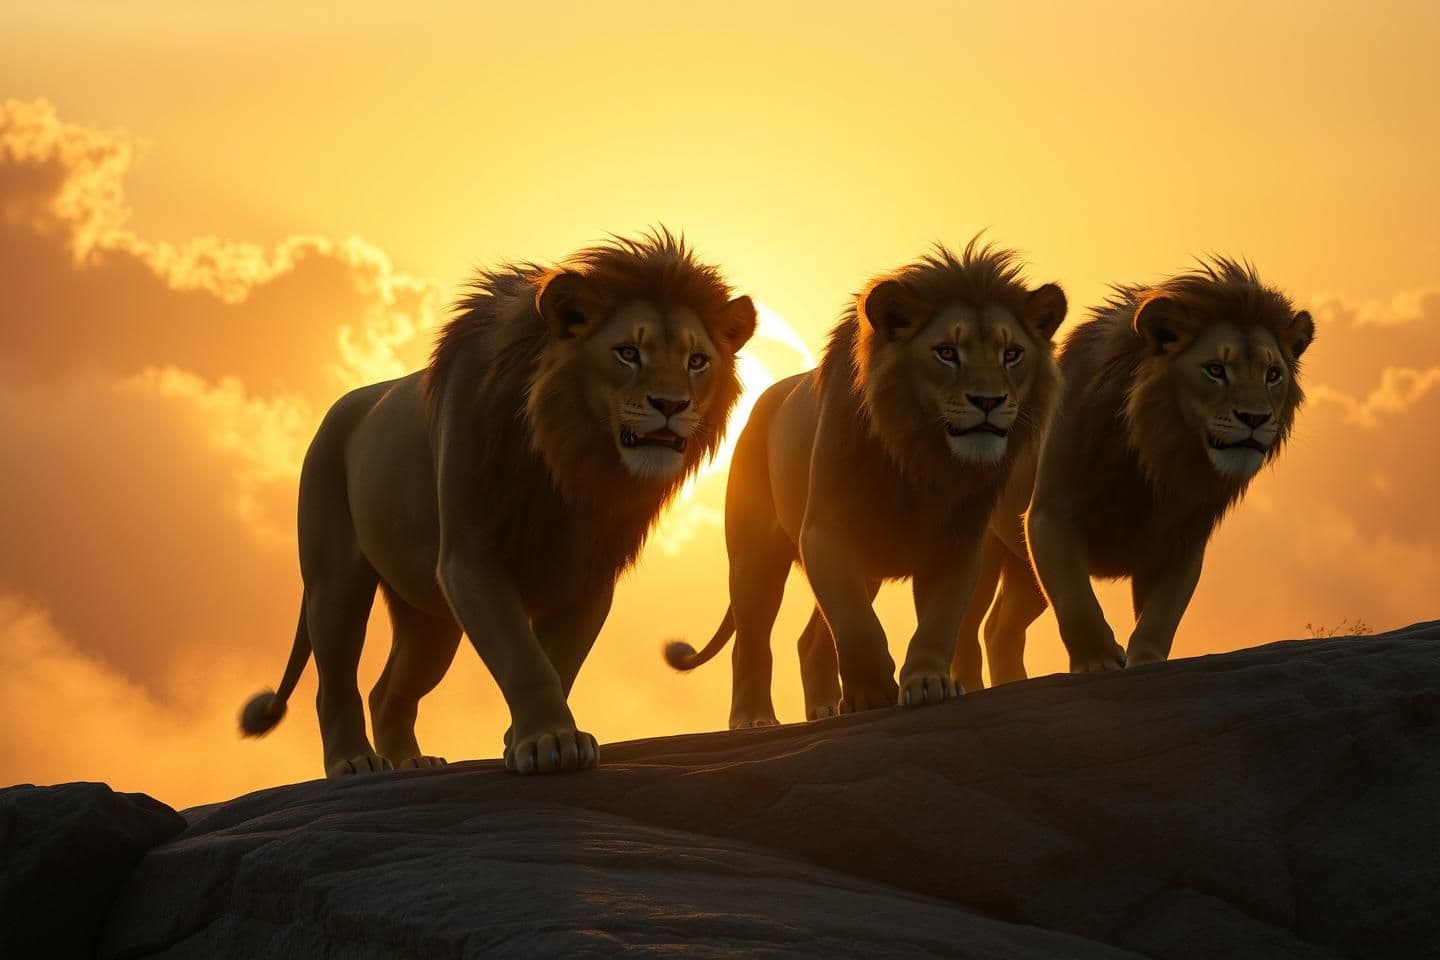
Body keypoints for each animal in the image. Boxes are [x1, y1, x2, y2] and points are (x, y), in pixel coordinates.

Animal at [240, 229, 757, 775]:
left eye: (697, 361)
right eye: (627, 352)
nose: (671, 405)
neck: (568, 462)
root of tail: (341, 406)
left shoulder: (588, 574)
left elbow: (558, 660)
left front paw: (526, 738)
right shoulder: (470, 558)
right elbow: (523, 657)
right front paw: (549, 741)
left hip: (430, 619)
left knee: (389, 690)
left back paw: (411, 761)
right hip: (335, 581)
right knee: (335, 680)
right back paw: (354, 762)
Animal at [665, 240, 1066, 726]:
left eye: (1012, 354)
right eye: (947, 352)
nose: (988, 401)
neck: (920, 458)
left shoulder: (959, 541)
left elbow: (939, 620)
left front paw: (927, 683)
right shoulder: (825, 532)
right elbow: (857, 625)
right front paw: (872, 695)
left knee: (810, 639)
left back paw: (823, 709)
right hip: (755, 558)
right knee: (751, 640)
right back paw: (754, 719)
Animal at [950, 257, 1315, 689]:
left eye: (1273, 374)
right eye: (1215, 369)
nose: (1255, 419)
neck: (1157, 458)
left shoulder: (1180, 542)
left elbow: (1161, 615)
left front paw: (1147, 663)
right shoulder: (1049, 516)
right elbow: (1076, 600)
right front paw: (1099, 661)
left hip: (1023, 568)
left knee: (1000, 628)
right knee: (965, 625)